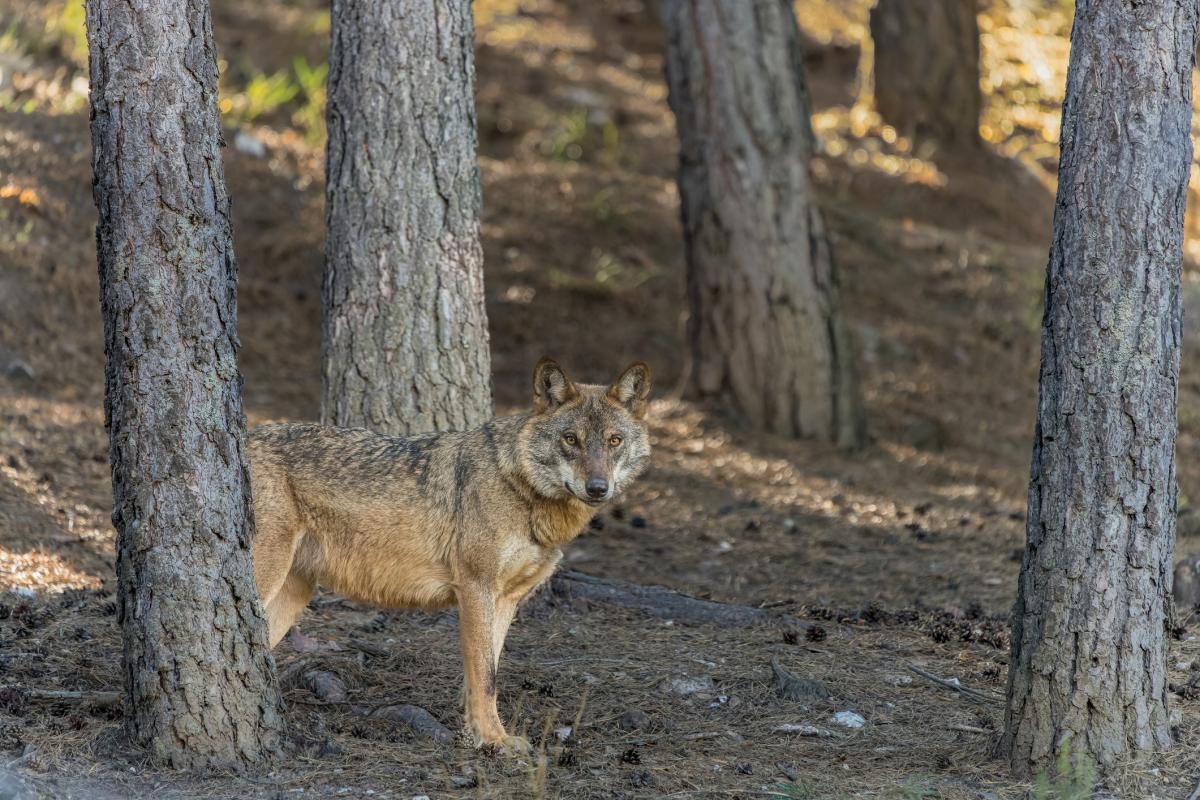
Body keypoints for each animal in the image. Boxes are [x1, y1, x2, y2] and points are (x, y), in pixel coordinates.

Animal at [247, 358, 652, 754]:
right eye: (571, 439)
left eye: (614, 441)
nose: (597, 488)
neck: (520, 491)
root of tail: (246, 436)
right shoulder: (474, 589)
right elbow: (485, 677)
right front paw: (494, 741)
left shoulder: (506, 600)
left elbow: (487, 672)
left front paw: (478, 736)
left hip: (291, 598)